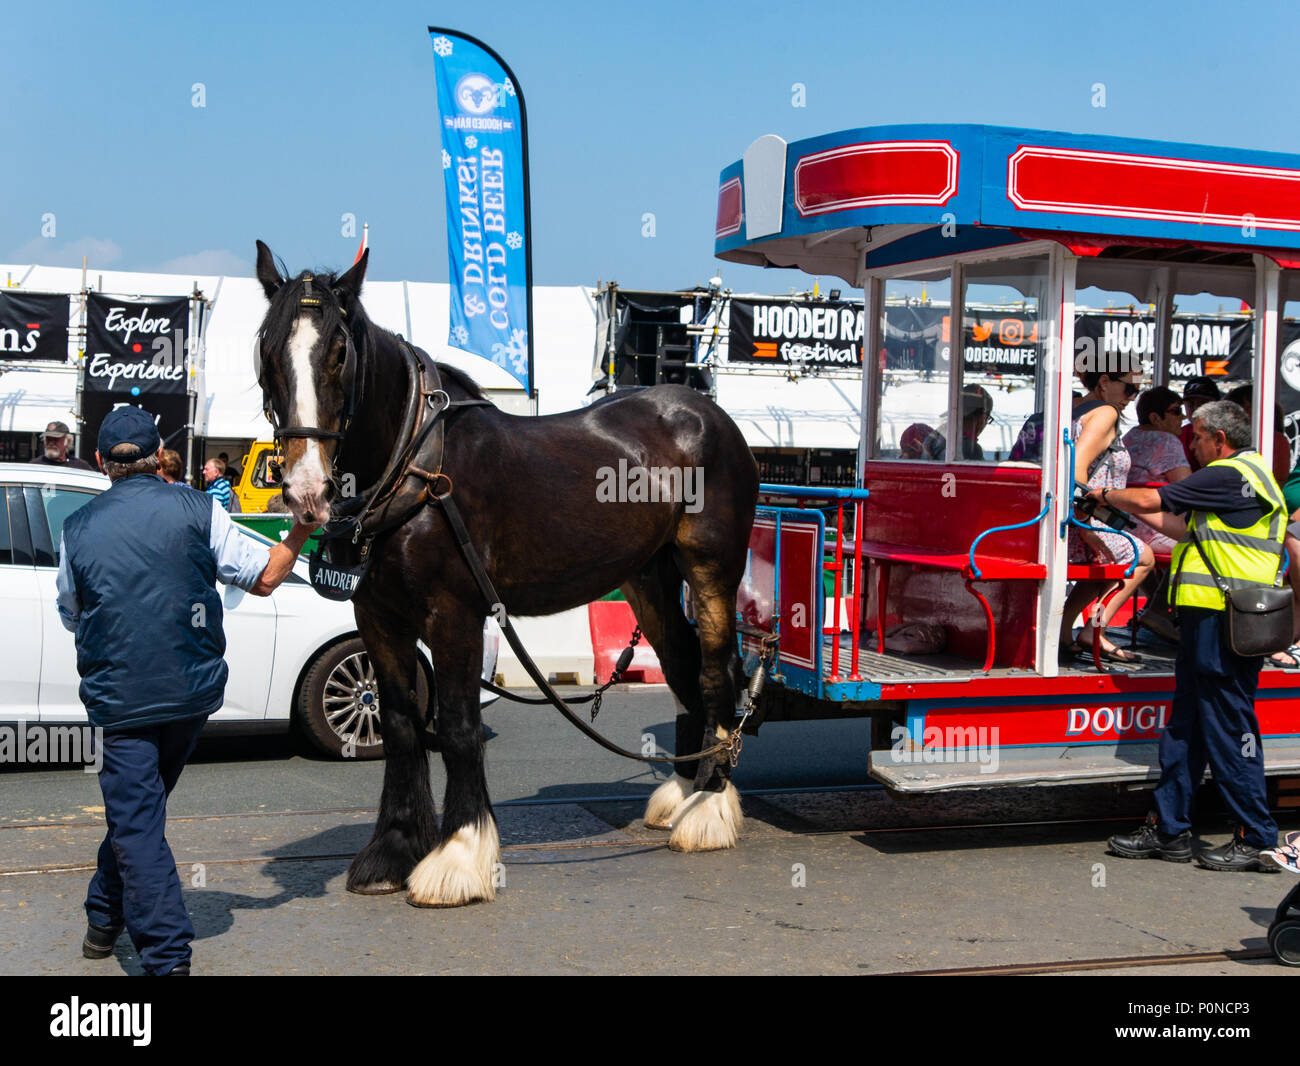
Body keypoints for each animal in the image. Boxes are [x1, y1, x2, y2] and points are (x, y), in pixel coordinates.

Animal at [253, 241, 759, 909]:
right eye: (267, 348)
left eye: (339, 350)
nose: (306, 489)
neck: (417, 467)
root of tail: (705, 412)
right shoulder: (378, 617)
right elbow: (401, 724)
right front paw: (393, 850)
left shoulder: (455, 614)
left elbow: (458, 726)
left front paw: (459, 857)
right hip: (647, 578)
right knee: (680, 664)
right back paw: (683, 791)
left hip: (710, 569)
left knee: (713, 670)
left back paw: (710, 808)